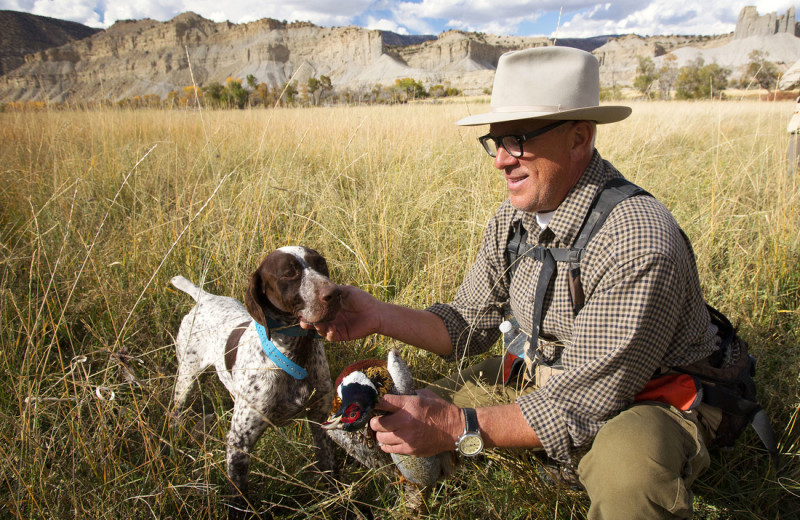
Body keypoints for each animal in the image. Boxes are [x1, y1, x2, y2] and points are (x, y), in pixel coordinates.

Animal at [172, 247, 340, 516]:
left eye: (321, 264)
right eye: (289, 273)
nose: (335, 293)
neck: (294, 353)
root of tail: (205, 298)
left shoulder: (319, 421)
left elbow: (329, 470)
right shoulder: (239, 442)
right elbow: (239, 498)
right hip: (186, 375)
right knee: (176, 408)